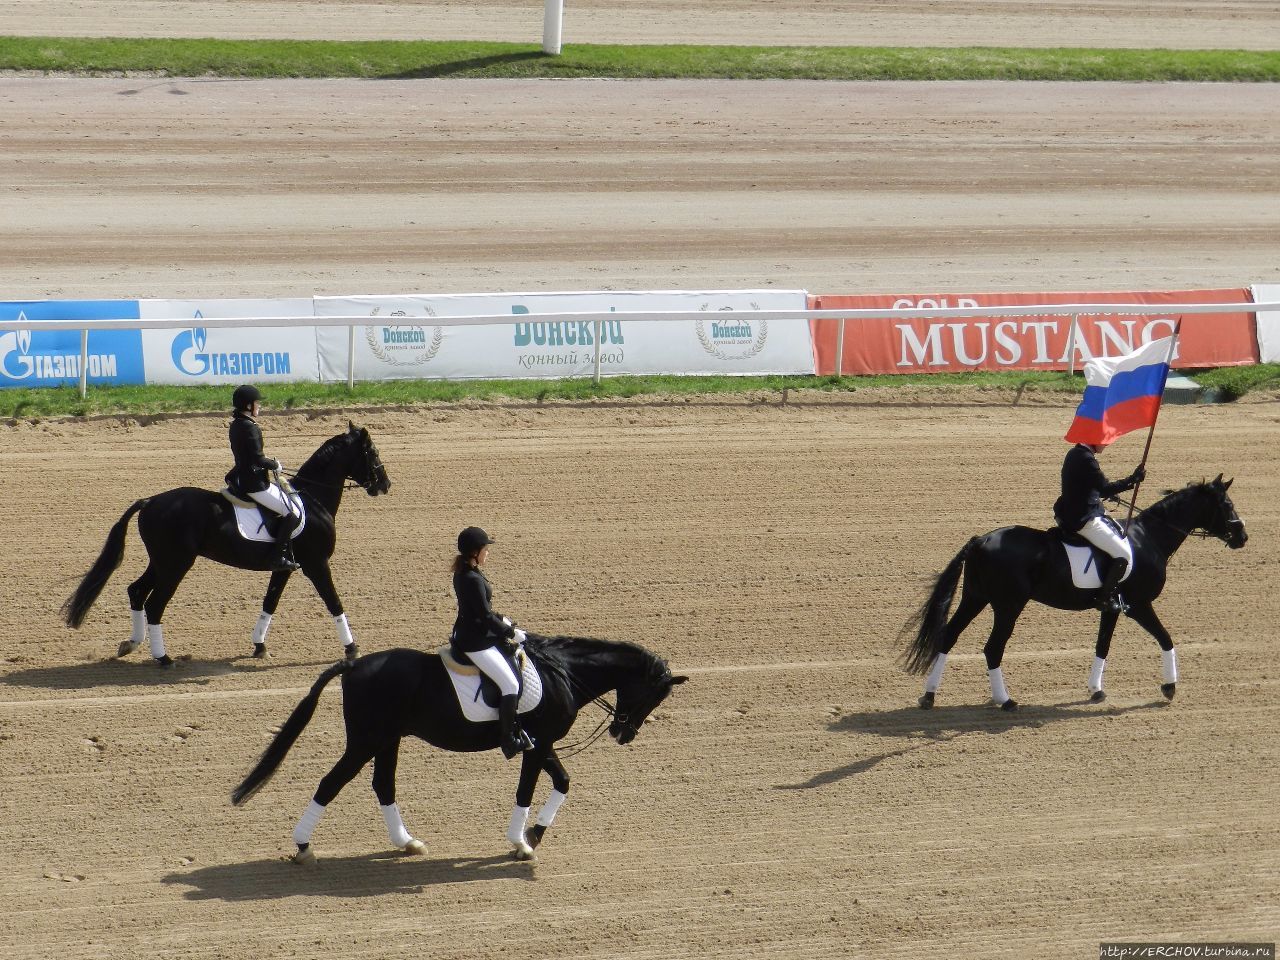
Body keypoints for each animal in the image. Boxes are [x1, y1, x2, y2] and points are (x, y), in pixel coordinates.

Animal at [63, 424, 389, 665]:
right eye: (372, 451)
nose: (385, 485)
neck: (313, 499)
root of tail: (151, 501)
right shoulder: (316, 564)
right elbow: (334, 602)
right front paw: (352, 649)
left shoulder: (285, 567)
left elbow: (270, 602)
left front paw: (259, 646)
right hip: (176, 564)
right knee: (154, 603)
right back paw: (164, 658)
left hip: (161, 561)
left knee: (137, 591)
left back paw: (131, 644)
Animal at [234, 640, 686, 865]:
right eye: (655, 695)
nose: (623, 733)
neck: (565, 674)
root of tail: (355, 666)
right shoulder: (536, 745)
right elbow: (528, 790)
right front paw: (522, 843)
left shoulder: (543, 745)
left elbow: (563, 781)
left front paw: (535, 834)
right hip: (366, 740)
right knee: (331, 783)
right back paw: (304, 848)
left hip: (388, 739)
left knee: (383, 785)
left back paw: (408, 843)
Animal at [906, 478, 1244, 711]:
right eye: (1227, 505)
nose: (1243, 536)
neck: (1149, 538)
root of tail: (980, 540)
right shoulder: (1139, 605)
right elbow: (1166, 638)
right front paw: (1169, 687)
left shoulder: (1111, 607)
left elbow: (1103, 645)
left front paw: (1096, 690)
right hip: (1008, 606)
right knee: (992, 648)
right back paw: (1006, 701)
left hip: (975, 598)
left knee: (948, 636)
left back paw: (929, 696)